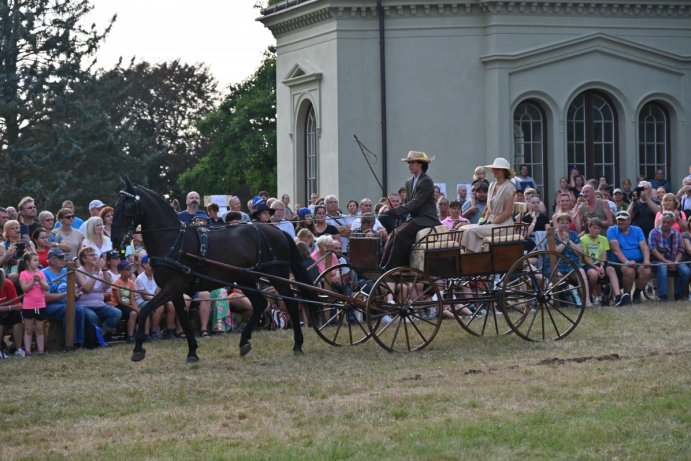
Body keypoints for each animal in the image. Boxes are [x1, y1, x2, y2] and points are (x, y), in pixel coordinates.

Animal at [112, 178, 318, 362]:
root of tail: (278, 231)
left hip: (276, 274)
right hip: (245, 278)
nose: (115, 239)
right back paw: (244, 342)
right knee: (260, 303)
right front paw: (192, 352)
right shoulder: (175, 291)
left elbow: (144, 311)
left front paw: (138, 349)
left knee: (291, 303)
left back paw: (297, 344)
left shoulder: (172, 287)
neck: (172, 240)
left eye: (126, 207)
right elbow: (182, 319)